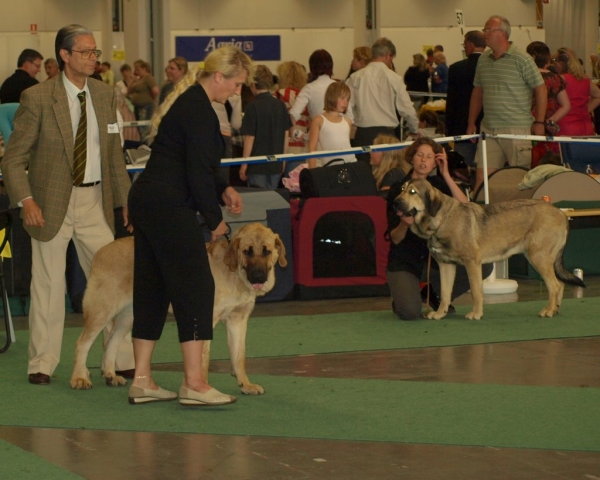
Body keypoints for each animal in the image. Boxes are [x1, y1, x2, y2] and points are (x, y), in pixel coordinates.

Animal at [394, 178, 584, 320]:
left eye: (412, 192)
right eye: (402, 189)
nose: (395, 202)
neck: (441, 220)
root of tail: (560, 213)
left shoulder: (472, 263)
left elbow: (476, 291)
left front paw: (476, 314)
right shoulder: (446, 265)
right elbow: (445, 293)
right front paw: (440, 313)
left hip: (538, 258)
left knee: (555, 285)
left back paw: (549, 310)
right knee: (559, 284)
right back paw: (555, 309)